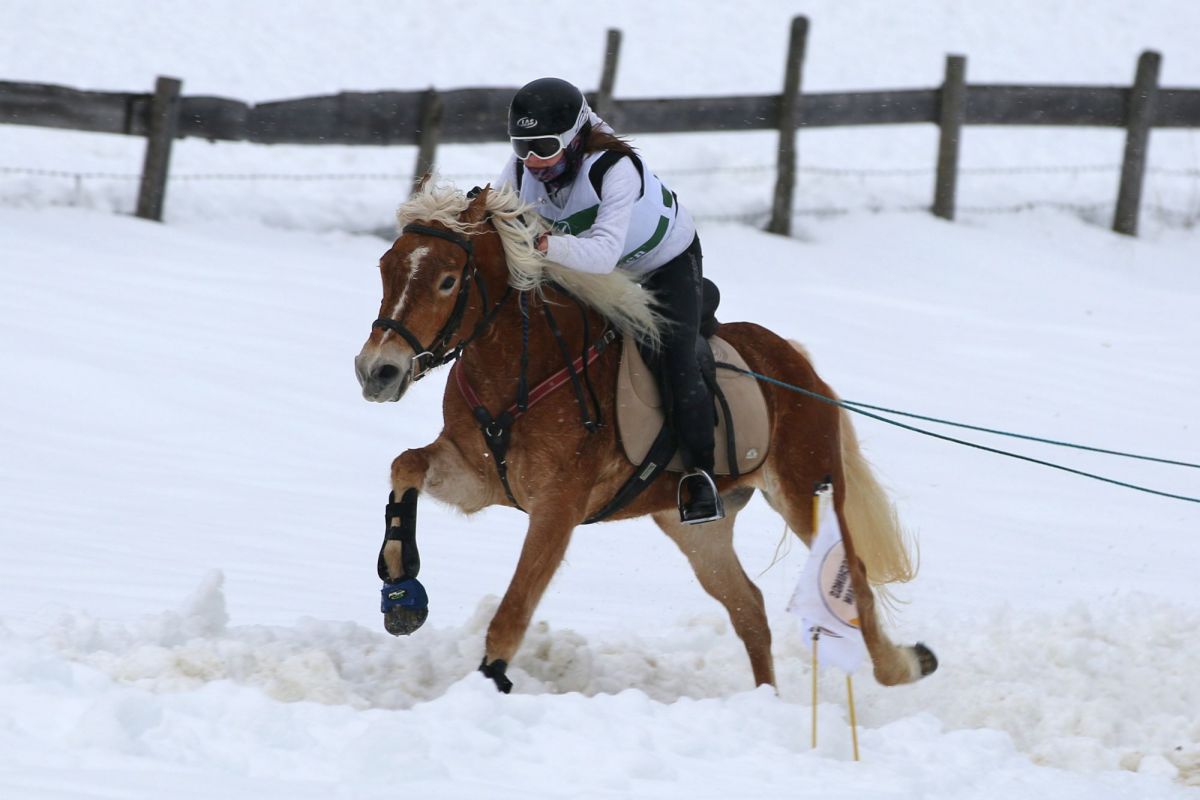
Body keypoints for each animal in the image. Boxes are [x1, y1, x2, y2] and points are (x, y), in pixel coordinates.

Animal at [354, 181, 938, 693]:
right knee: (748, 606)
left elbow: (514, 610)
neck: (521, 370)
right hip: (697, 528)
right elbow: (404, 465)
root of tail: (801, 369)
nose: (377, 371)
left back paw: (905, 667)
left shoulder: (557, 507)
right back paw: (766, 701)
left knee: (854, 580)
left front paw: (490, 680)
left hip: (806, 492)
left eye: (448, 280)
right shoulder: (479, 477)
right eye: (385, 268)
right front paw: (402, 593)